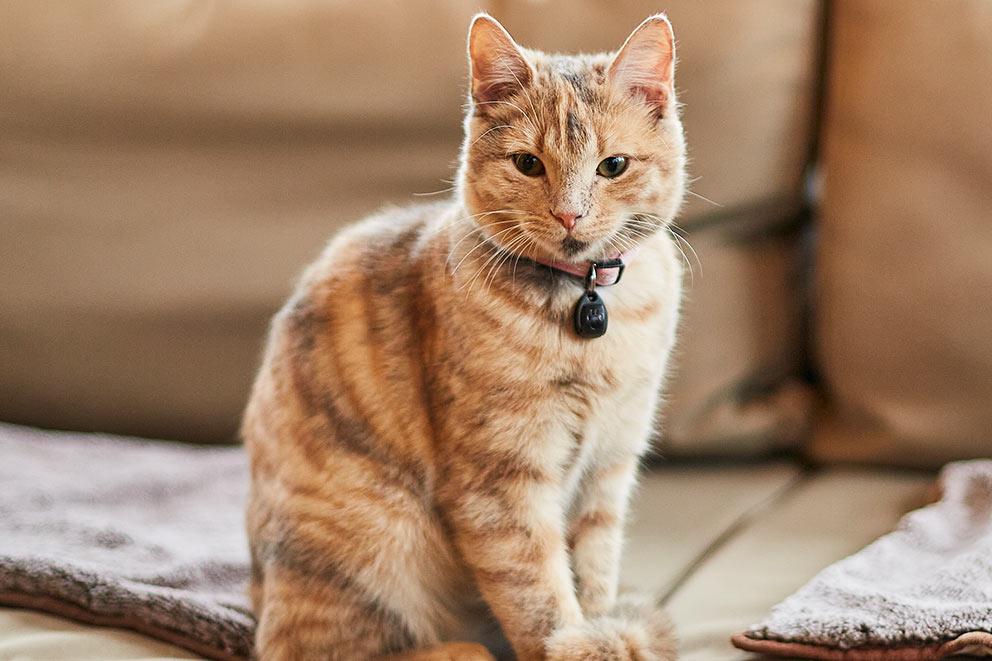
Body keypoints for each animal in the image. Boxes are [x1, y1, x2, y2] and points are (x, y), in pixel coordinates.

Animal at [244, 11, 684, 660]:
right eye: (528, 164)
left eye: (613, 166)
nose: (569, 214)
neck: (586, 307)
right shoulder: (500, 483)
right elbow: (538, 593)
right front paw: (575, 642)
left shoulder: (608, 468)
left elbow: (594, 578)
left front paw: (600, 628)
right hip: (370, 540)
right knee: (312, 649)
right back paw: (461, 651)